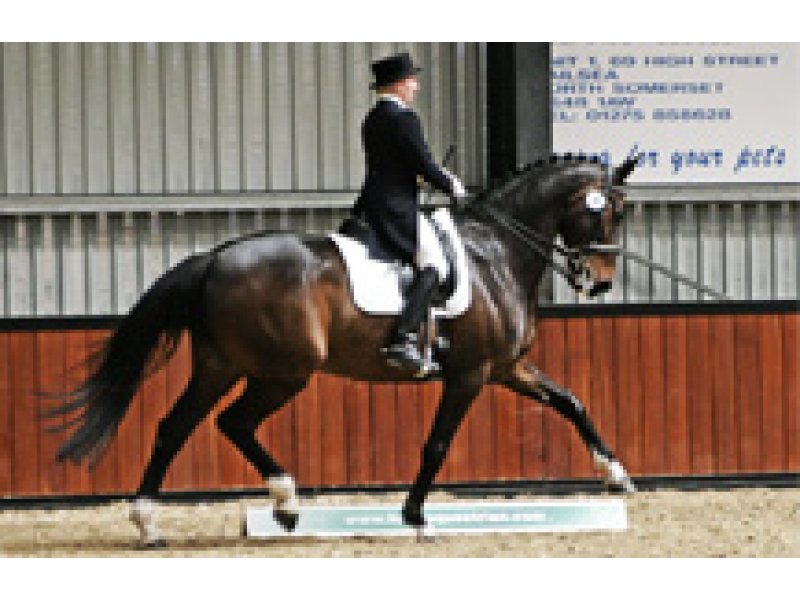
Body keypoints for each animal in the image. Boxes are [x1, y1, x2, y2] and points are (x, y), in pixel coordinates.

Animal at [47, 154, 641, 546]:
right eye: (608, 211)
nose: (600, 282)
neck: (494, 251)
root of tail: (215, 257)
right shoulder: (470, 374)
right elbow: (436, 446)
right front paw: (416, 519)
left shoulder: (507, 367)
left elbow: (570, 402)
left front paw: (616, 475)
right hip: (283, 371)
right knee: (233, 423)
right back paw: (285, 503)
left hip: (222, 364)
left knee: (177, 426)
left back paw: (152, 523)